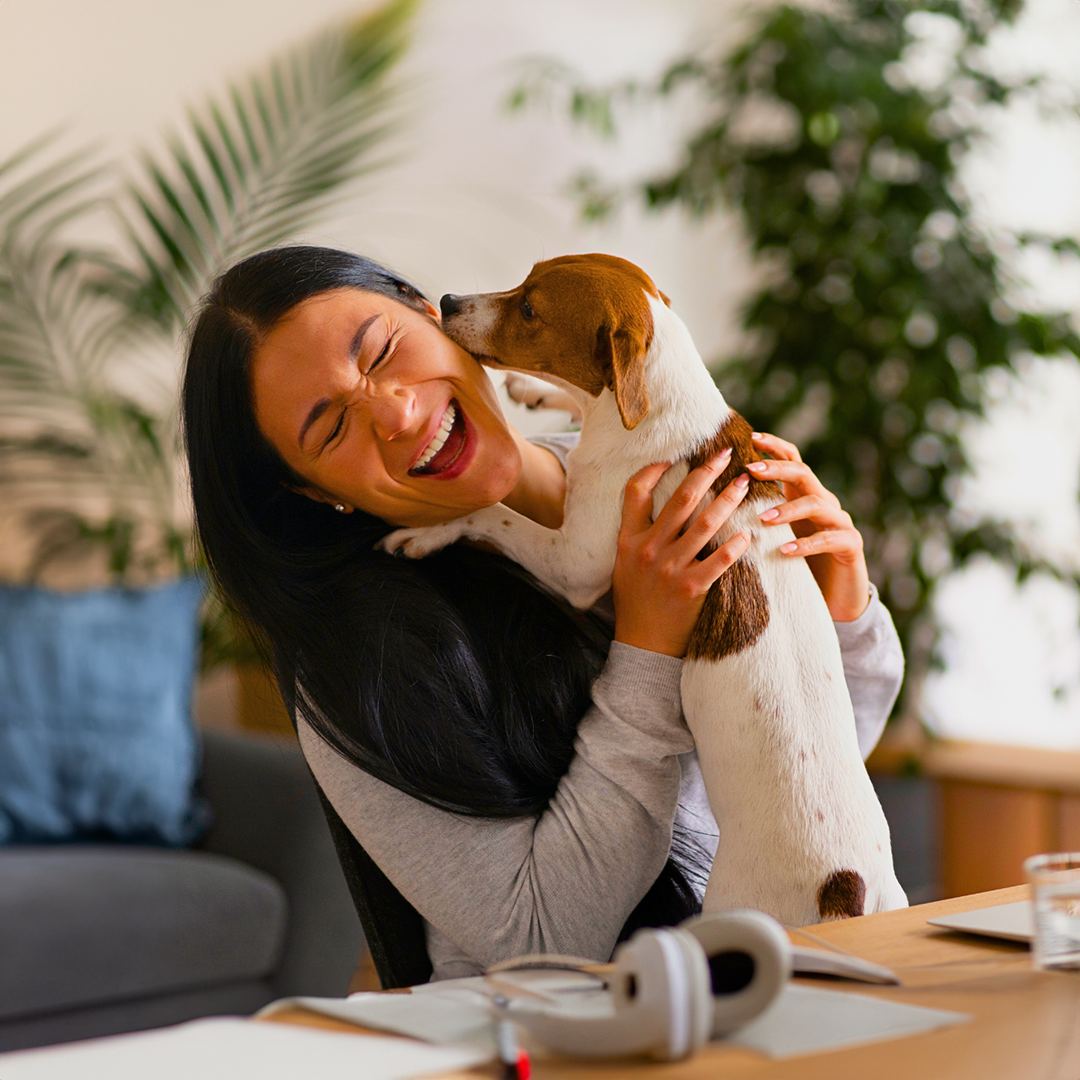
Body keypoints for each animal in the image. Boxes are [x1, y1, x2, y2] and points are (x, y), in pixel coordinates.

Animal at [384, 254, 907, 928]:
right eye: (524, 280)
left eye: (529, 308)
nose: (447, 301)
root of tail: (846, 890)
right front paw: (538, 391)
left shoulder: (575, 563)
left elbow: (493, 513)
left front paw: (428, 530)